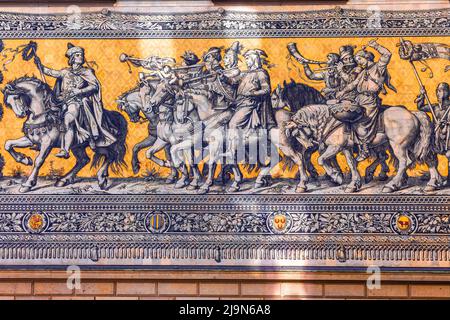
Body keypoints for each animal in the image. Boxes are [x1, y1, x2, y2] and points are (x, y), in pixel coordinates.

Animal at [286, 102, 442, 192]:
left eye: (298, 132)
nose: (309, 145)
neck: (329, 121)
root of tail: (413, 113)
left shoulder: (335, 147)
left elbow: (321, 159)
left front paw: (336, 176)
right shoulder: (346, 148)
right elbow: (352, 163)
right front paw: (353, 184)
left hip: (398, 145)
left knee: (405, 162)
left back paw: (391, 185)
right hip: (413, 144)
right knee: (428, 158)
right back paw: (432, 184)